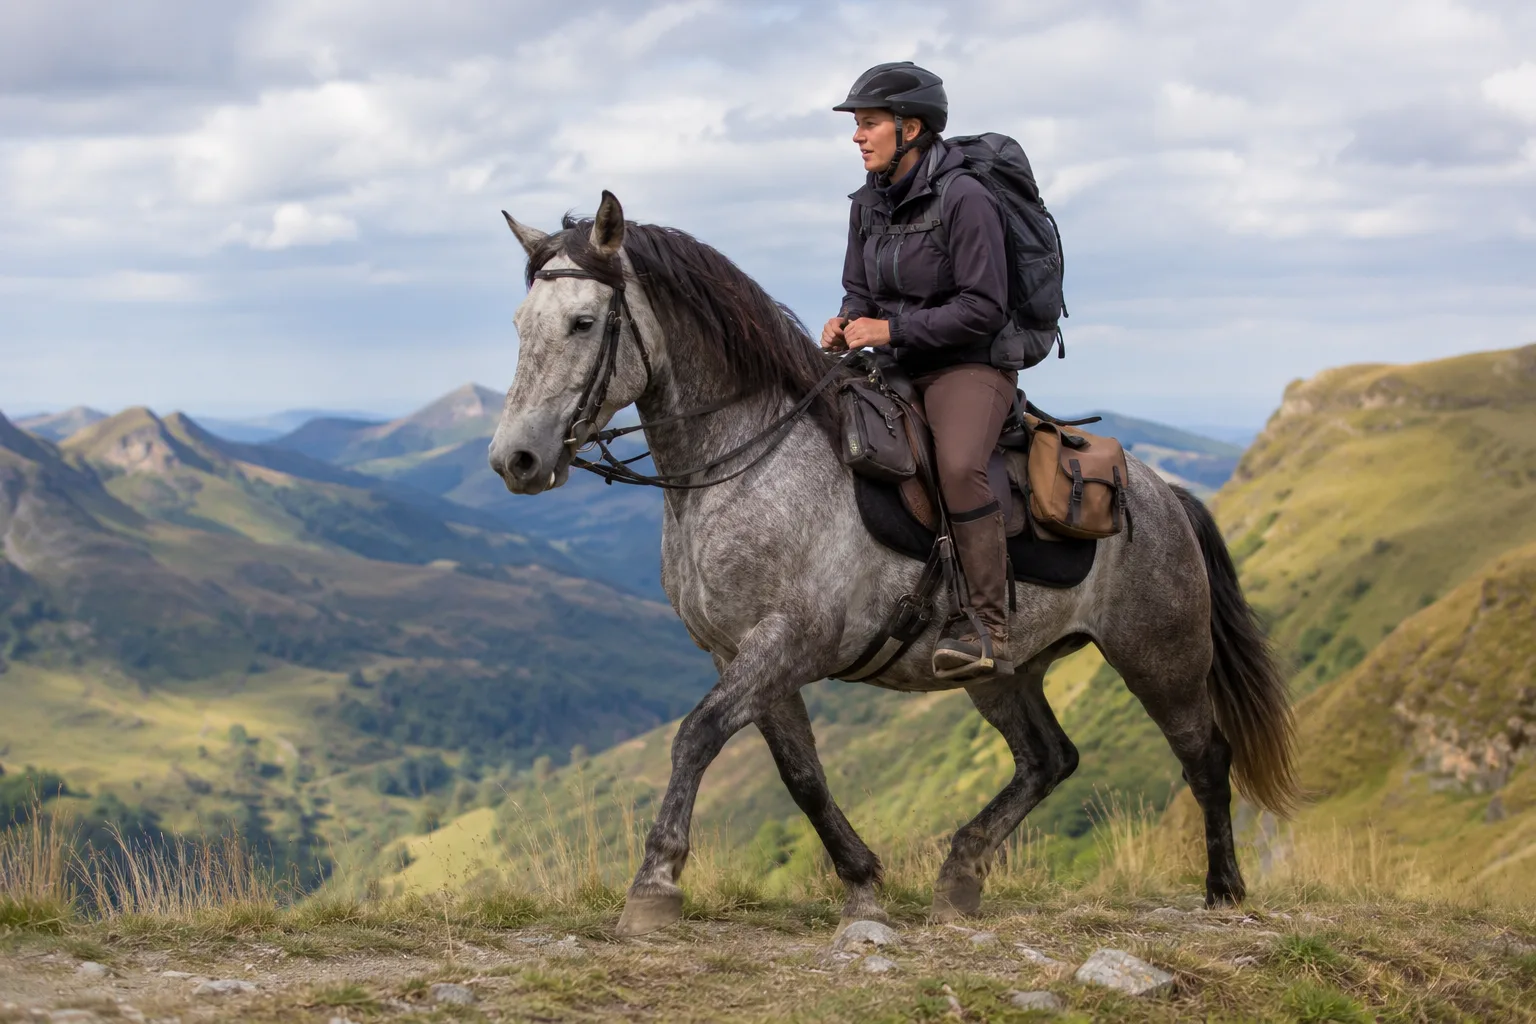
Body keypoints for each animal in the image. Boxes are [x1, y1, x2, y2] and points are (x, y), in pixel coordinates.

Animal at [488, 191, 1297, 936]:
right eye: (519, 325)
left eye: (583, 323)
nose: (514, 460)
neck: (748, 460)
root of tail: (1167, 495)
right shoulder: (740, 653)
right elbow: (801, 774)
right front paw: (862, 881)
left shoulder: (789, 642)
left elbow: (696, 736)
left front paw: (654, 885)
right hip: (1002, 671)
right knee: (1049, 759)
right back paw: (961, 873)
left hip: (1161, 656)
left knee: (1205, 756)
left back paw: (1223, 889)